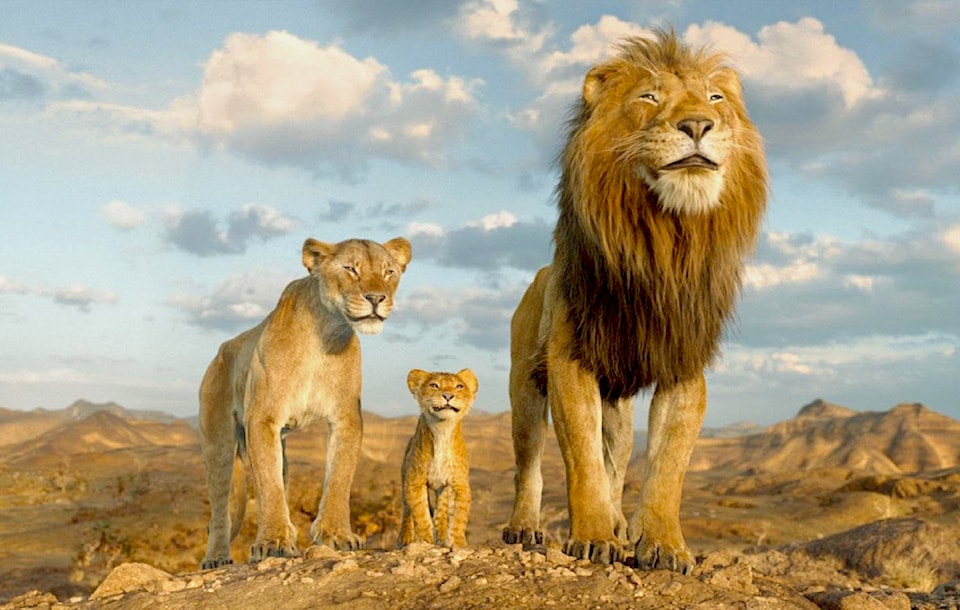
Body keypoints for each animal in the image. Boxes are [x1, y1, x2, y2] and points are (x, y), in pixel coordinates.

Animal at [199, 236, 412, 569]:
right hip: (218, 442)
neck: (325, 332)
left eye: (388, 272)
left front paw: (336, 534)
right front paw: (273, 542)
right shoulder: (263, 418)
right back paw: (217, 558)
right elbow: (269, 486)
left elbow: (339, 476)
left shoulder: (346, 417)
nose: (377, 298)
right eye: (351, 269)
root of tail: (221, 351)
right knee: (220, 507)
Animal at [397, 368, 477, 548]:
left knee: (441, 514)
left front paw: (458, 543)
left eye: (459, 386)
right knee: (406, 509)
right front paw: (424, 541)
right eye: (434, 385)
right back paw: (404, 538)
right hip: (405, 478)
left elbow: (459, 517)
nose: (448, 395)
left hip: (443, 490)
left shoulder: (459, 484)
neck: (442, 429)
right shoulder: (414, 481)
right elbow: (420, 513)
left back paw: (441, 537)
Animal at [502, 30, 767, 573]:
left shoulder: (683, 364)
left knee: (618, 461)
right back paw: (525, 527)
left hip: (618, 408)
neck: (664, 241)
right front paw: (592, 537)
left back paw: (620, 521)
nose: (697, 125)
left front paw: (664, 545)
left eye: (716, 98)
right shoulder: (570, 360)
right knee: (530, 463)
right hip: (524, 388)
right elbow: (581, 461)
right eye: (649, 97)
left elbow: (667, 466)